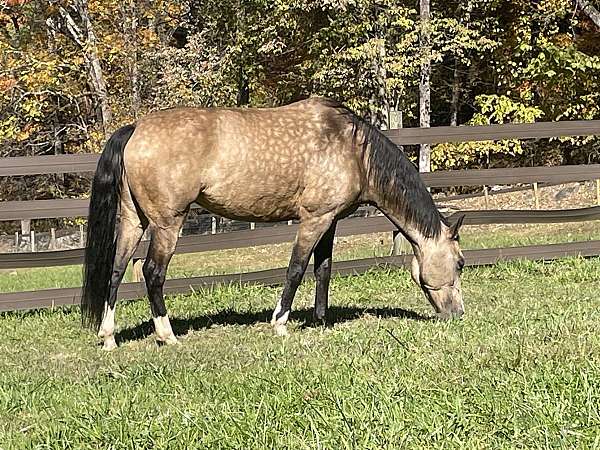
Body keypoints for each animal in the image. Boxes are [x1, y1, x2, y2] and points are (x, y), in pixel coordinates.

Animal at [79, 97, 466, 352]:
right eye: (460, 263)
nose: (457, 314)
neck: (353, 150)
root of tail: (136, 129)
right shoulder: (313, 220)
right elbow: (296, 268)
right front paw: (280, 323)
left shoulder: (329, 221)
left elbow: (323, 270)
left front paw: (320, 321)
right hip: (166, 224)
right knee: (152, 273)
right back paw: (167, 335)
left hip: (133, 220)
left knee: (116, 271)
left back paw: (109, 338)